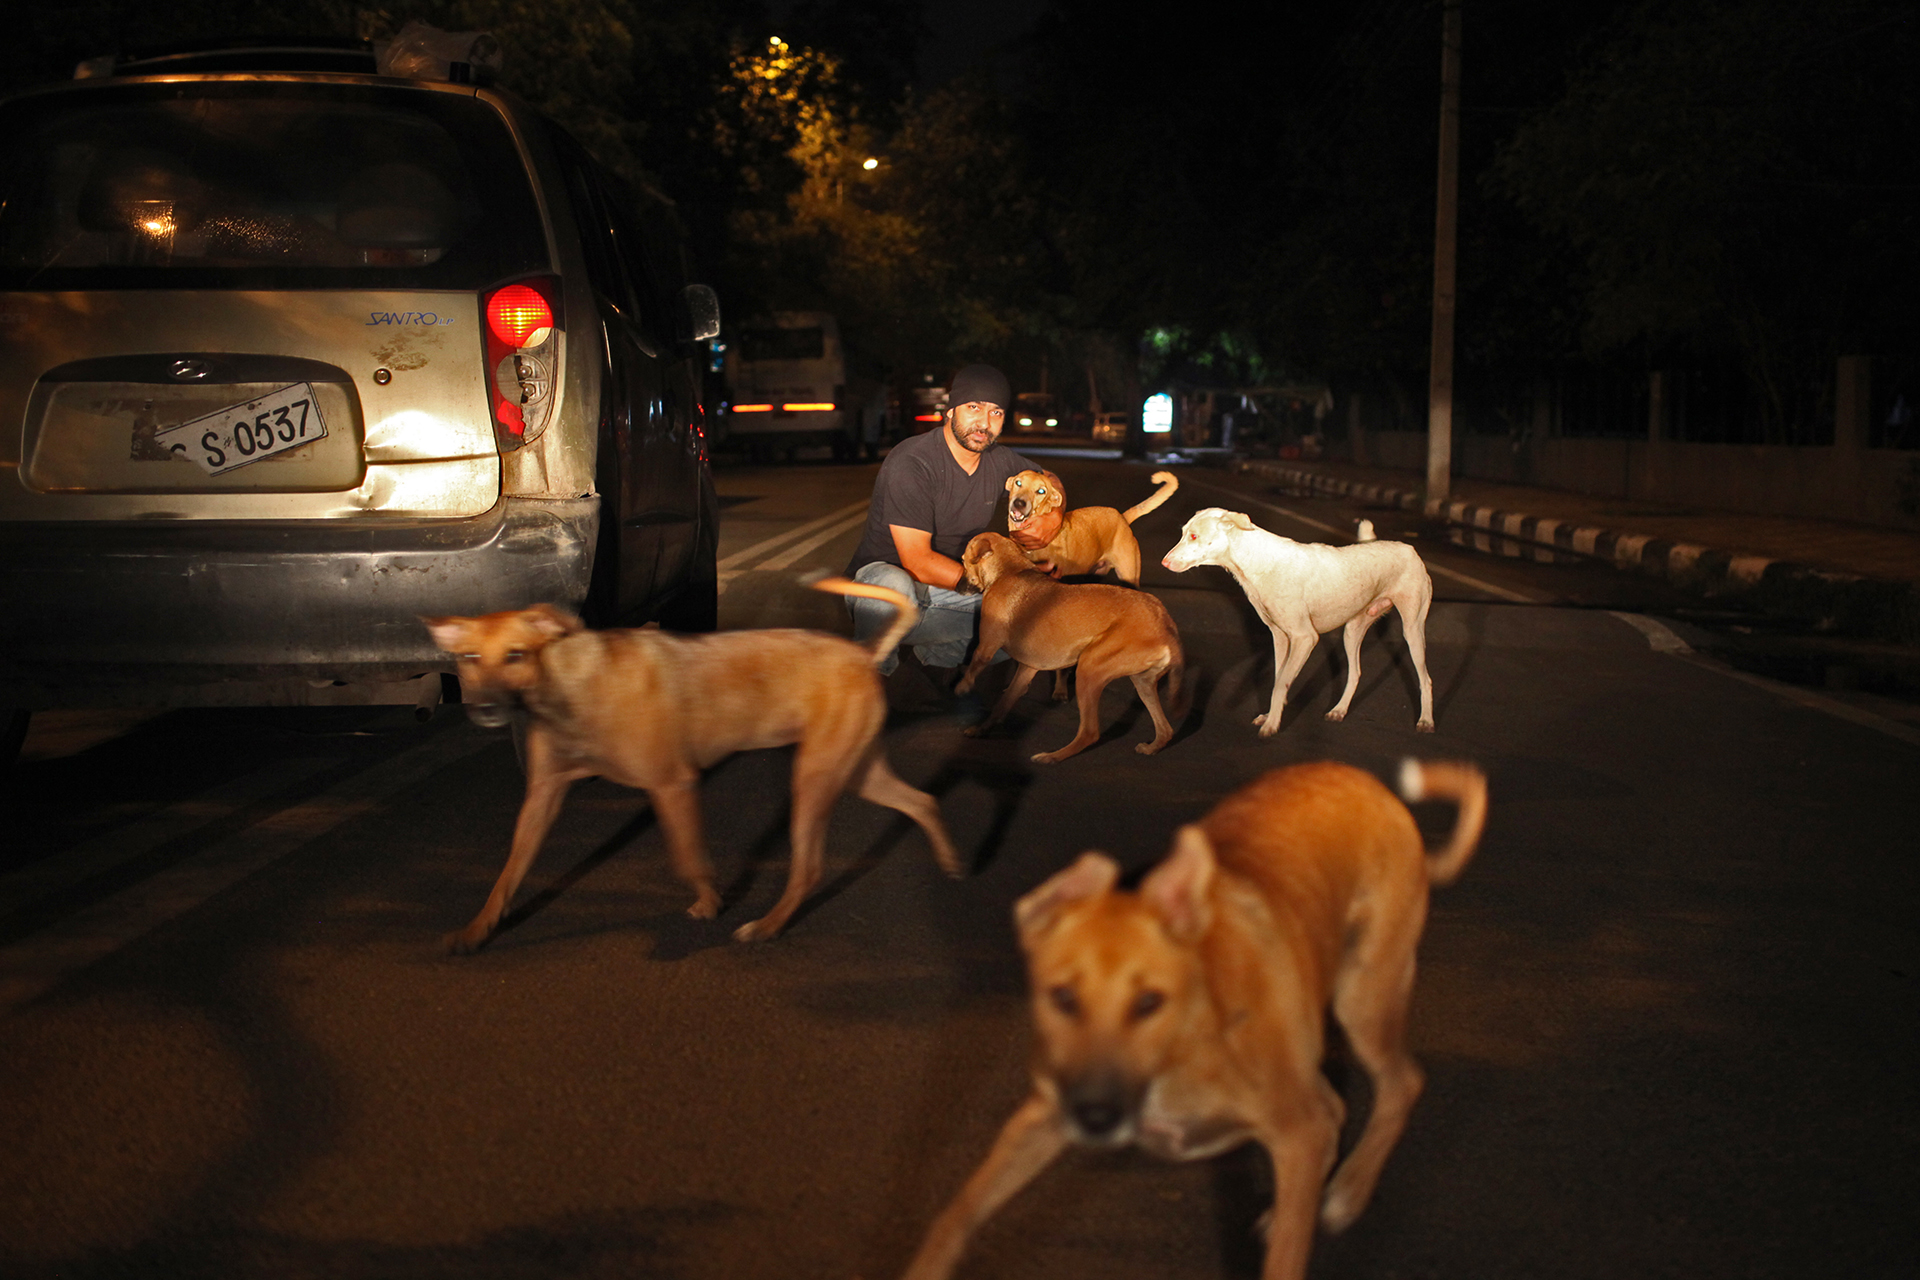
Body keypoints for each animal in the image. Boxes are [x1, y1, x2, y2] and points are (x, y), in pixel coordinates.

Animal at [422, 579, 960, 951]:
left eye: (516, 655)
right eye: (469, 657)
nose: (484, 709)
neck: (568, 687)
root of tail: (863, 654)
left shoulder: (673, 784)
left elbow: (687, 856)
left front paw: (709, 901)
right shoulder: (542, 797)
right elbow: (507, 875)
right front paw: (476, 931)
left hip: (815, 778)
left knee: (808, 868)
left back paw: (766, 926)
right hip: (856, 771)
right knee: (923, 801)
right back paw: (950, 862)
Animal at [898, 759, 1482, 1280]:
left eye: (1149, 1002)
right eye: (1061, 997)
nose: (1096, 1117)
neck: (1177, 1051)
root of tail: (1370, 786)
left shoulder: (1296, 1130)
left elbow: (1285, 1263)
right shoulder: (1041, 1116)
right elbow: (955, 1215)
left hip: (1365, 998)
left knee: (1401, 1083)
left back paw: (1347, 1191)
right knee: (1338, 1104)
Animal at [948, 529, 1175, 759]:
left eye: (963, 561)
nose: (956, 586)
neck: (1009, 570)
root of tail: (1163, 623)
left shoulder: (986, 647)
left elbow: (974, 667)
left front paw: (962, 687)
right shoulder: (1027, 668)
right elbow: (1003, 704)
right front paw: (983, 729)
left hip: (1089, 670)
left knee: (1089, 733)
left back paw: (1051, 757)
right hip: (1142, 683)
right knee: (1166, 730)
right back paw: (1152, 747)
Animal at [1159, 506, 1436, 729]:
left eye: (1194, 536)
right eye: (1183, 532)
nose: (1164, 563)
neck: (1257, 560)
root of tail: (1409, 548)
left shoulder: (1304, 638)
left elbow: (1281, 682)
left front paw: (1271, 725)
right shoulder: (1280, 637)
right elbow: (1277, 679)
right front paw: (1271, 715)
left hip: (1412, 630)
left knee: (1426, 679)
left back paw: (1426, 720)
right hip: (1353, 630)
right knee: (1355, 672)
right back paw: (1339, 710)